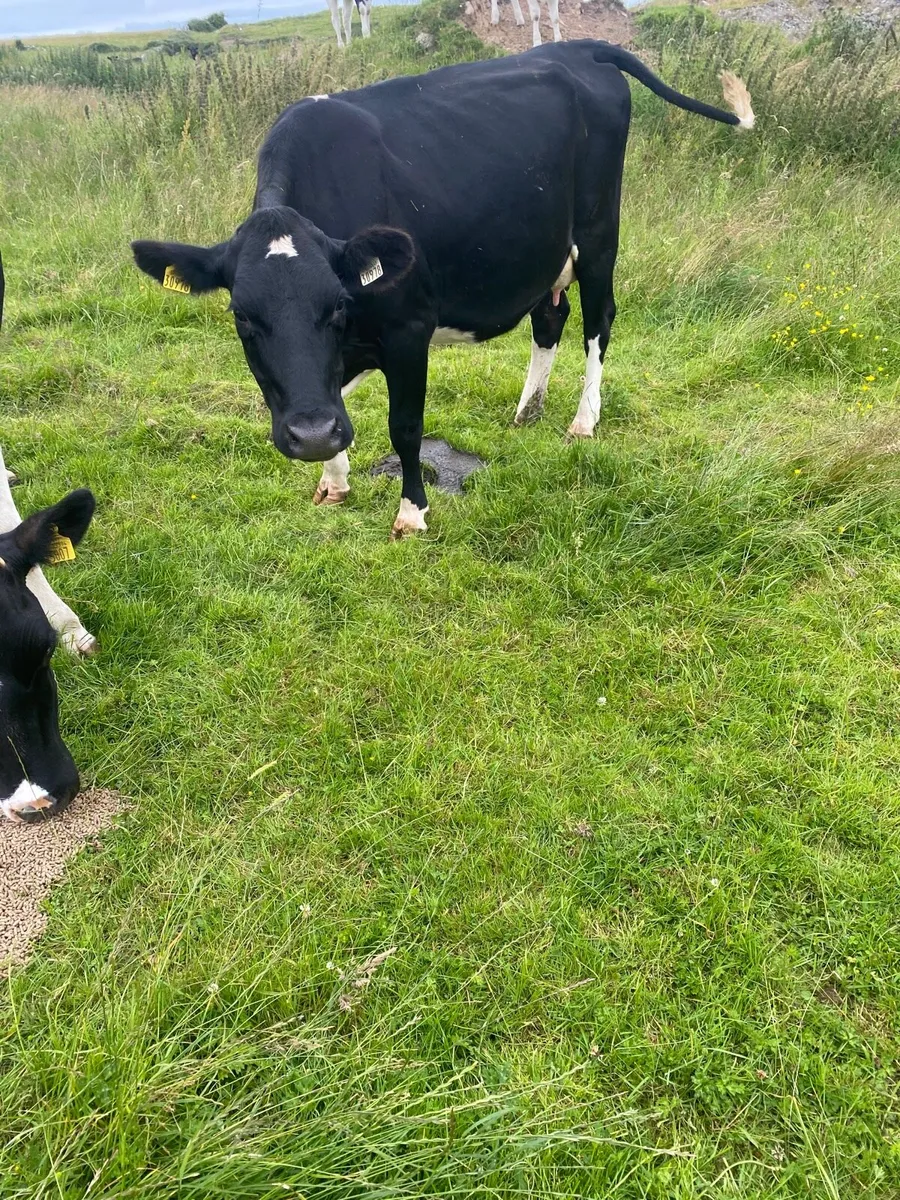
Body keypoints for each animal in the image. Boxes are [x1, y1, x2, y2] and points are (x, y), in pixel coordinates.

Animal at [132, 42, 754, 539]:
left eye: (336, 306)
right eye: (242, 316)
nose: (311, 436)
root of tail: (580, 47)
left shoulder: (408, 329)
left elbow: (404, 428)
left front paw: (412, 513)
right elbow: (335, 396)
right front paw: (333, 480)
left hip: (600, 235)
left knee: (598, 322)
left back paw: (583, 421)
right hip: (542, 251)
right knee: (550, 319)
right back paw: (527, 411)